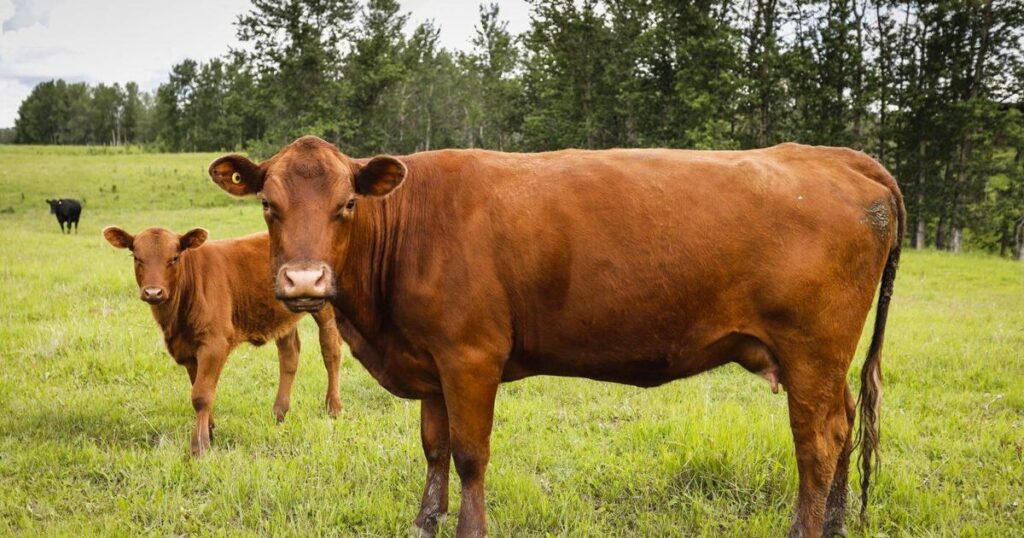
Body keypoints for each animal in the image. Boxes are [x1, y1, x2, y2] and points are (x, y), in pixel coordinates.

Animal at [102, 226, 345, 456]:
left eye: (174, 257)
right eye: (136, 257)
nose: (153, 292)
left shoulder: (215, 344)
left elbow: (201, 395)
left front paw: (199, 447)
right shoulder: (189, 349)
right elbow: (199, 388)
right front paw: (209, 433)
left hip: (326, 309)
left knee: (330, 351)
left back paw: (333, 408)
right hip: (282, 317)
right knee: (289, 356)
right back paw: (279, 413)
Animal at [209, 136, 904, 538]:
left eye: (347, 205)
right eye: (268, 205)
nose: (303, 279)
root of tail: (838, 156)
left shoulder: (470, 357)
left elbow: (470, 454)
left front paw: (470, 529)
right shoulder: (429, 362)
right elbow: (434, 451)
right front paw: (424, 524)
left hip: (811, 350)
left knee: (817, 444)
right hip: (825, 361)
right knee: (842, 428)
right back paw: (836, 525)